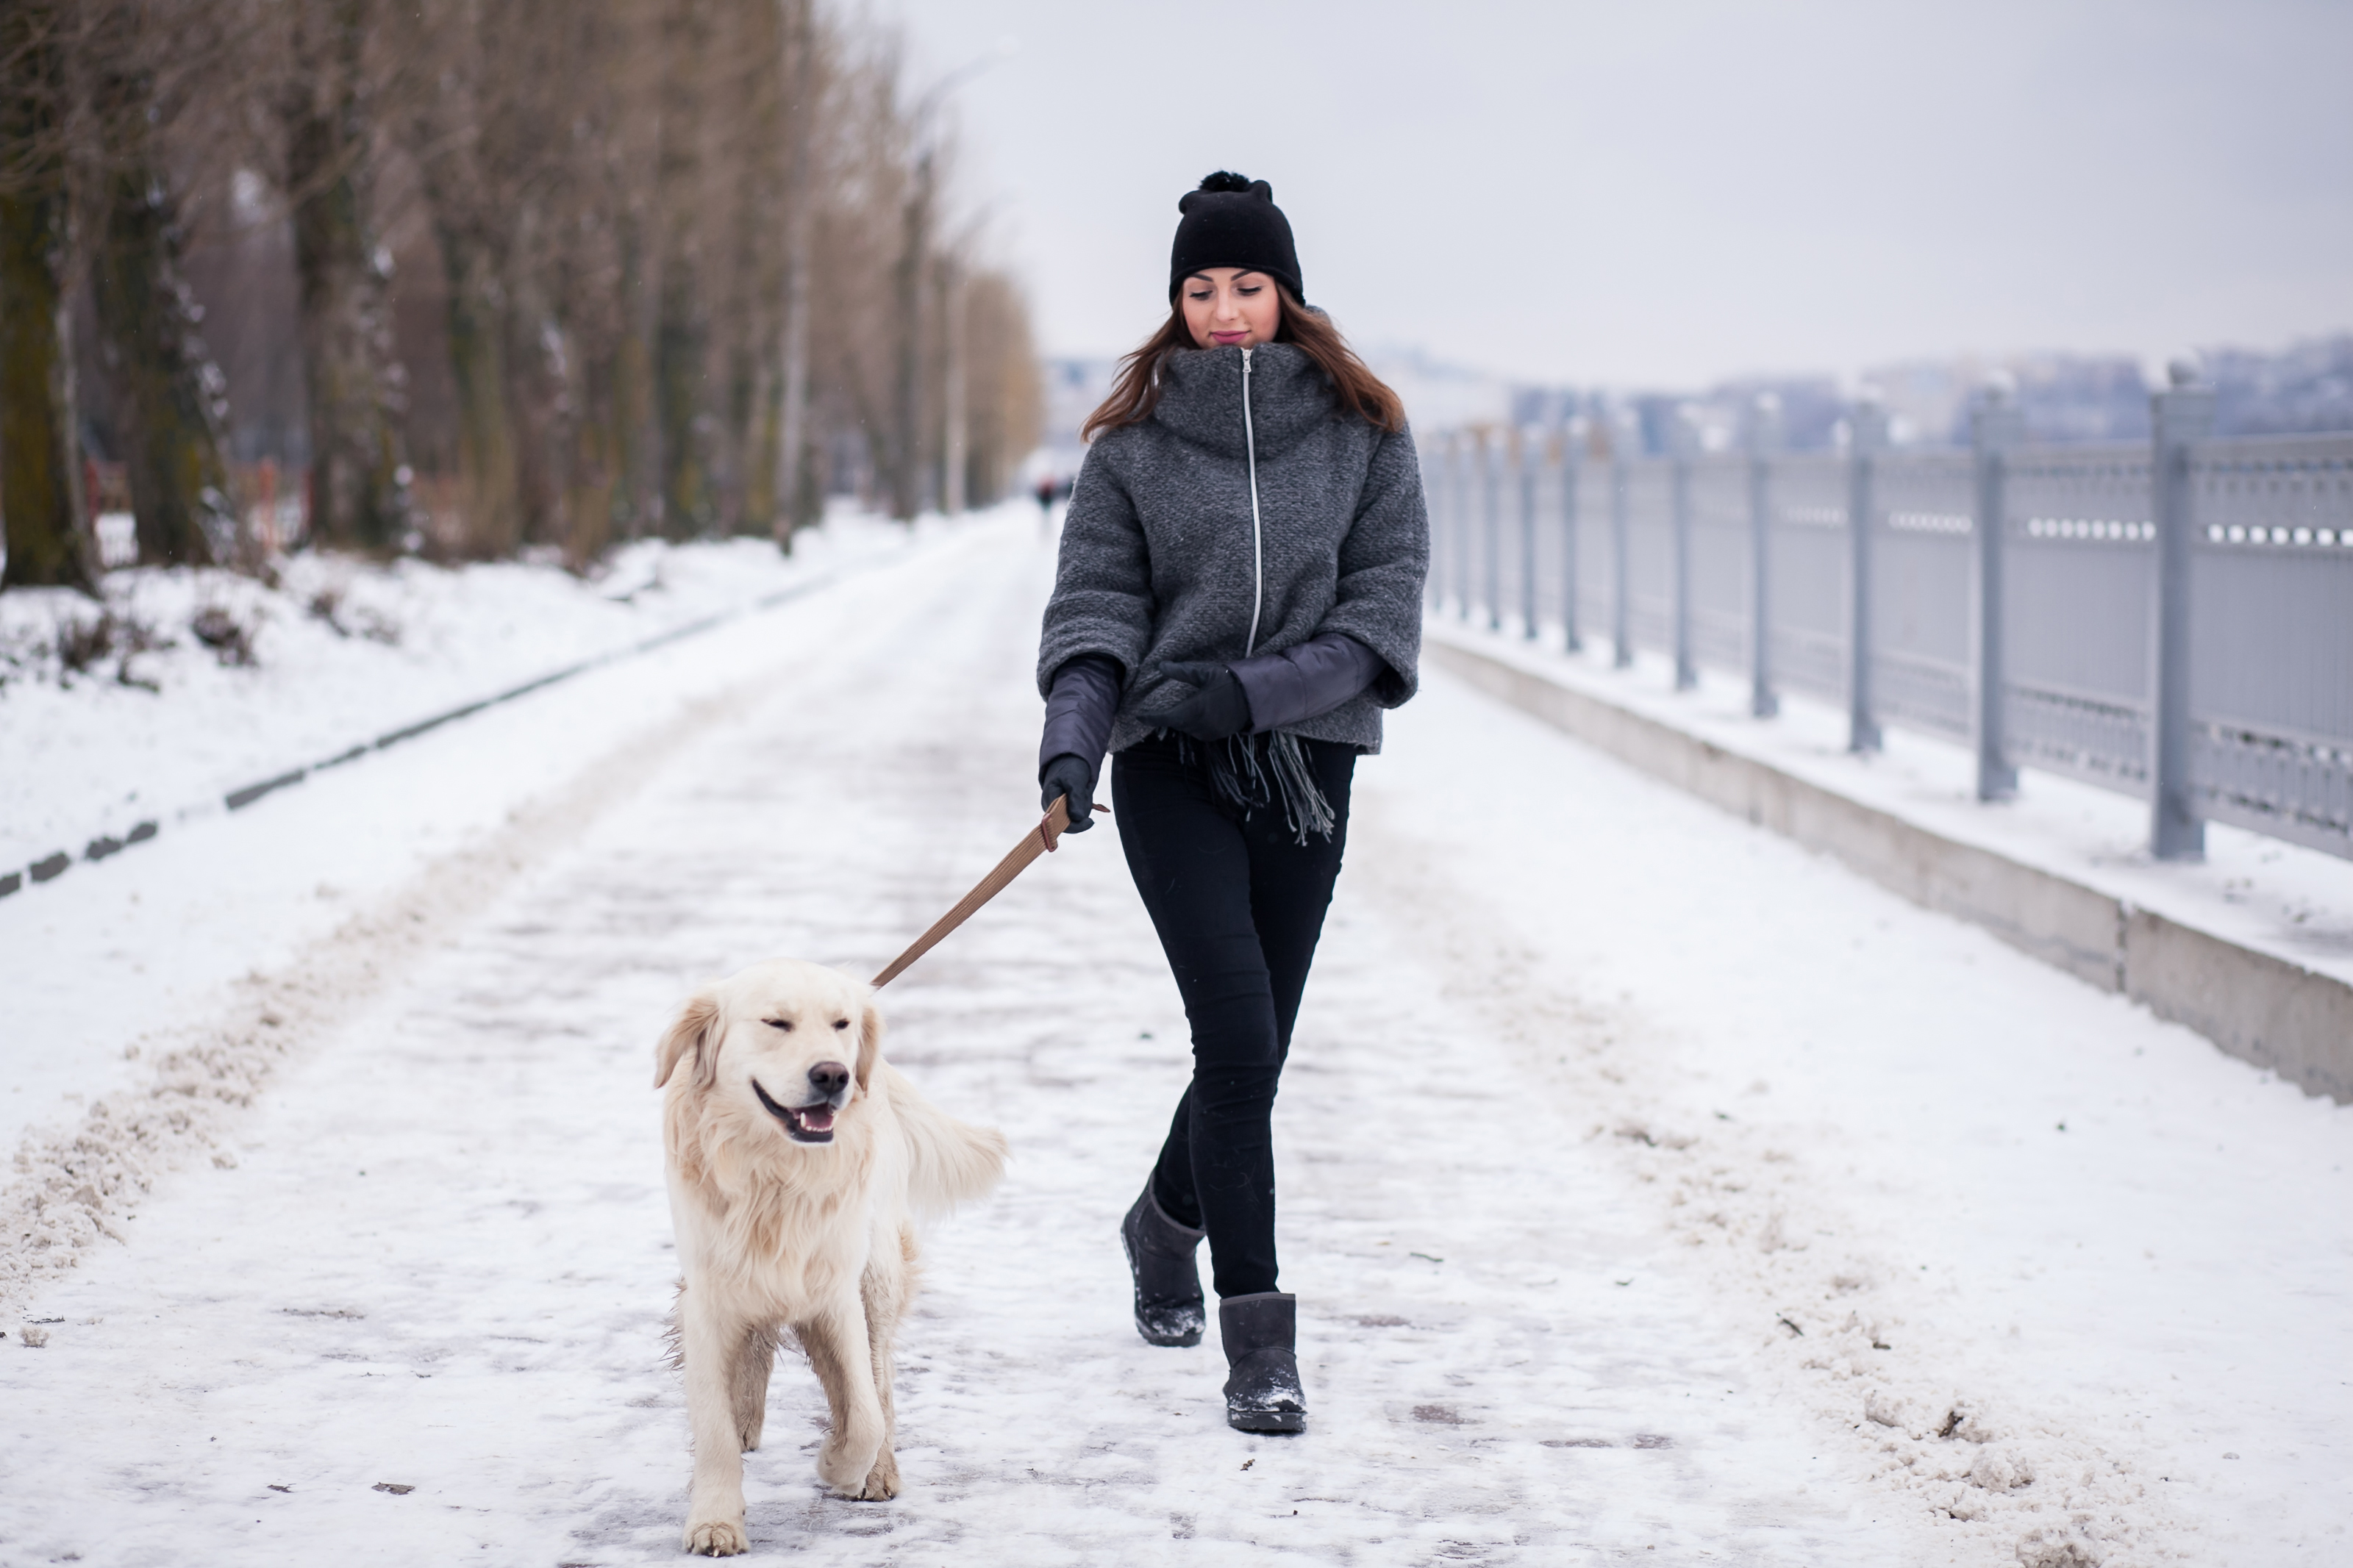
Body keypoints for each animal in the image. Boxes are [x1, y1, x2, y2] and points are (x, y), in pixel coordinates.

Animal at [654, 959, 1002, 1561]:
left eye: (841, 1023)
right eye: (776, 1022)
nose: (834, 1075)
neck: (777, 1175)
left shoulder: (837, 1294)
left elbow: (863, 1413)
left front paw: (839, 1464)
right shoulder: (710, 1296)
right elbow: (713, 1424)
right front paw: (715, 1519)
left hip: (878, 1272)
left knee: (880, 1382)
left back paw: (878, 1471)